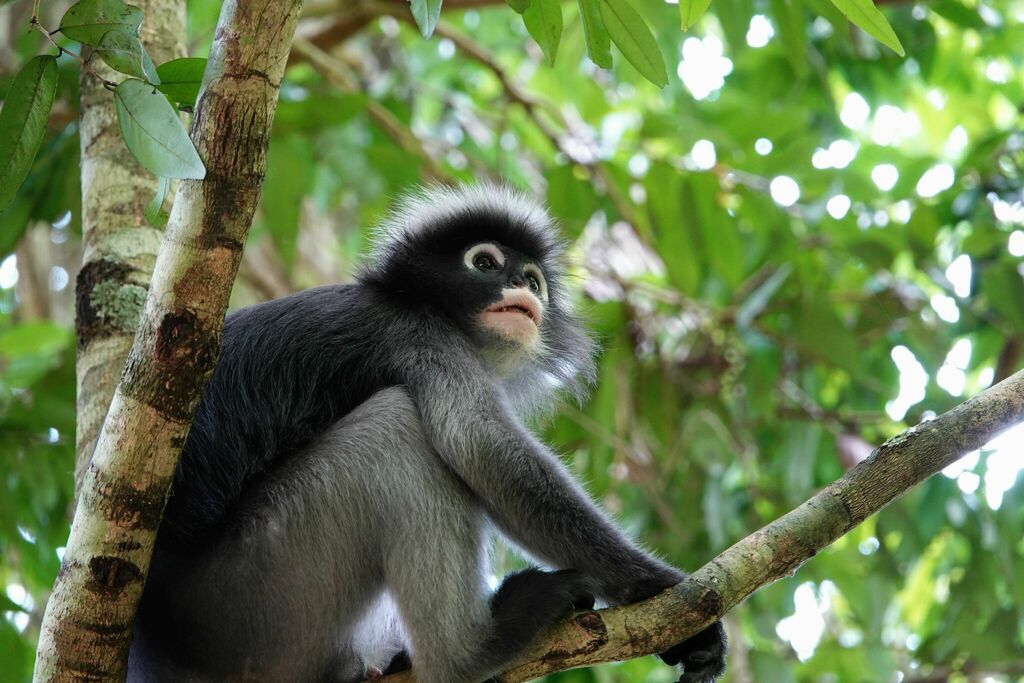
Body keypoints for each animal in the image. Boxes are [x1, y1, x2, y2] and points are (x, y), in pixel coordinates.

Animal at [128, 185, 727, 683]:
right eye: (485, 262)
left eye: (533, 279)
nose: (521, 286)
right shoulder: (423, 337)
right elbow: (481, 447)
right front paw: (659, 588)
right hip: (244, 605)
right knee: (398, 426)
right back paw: (474, 650)